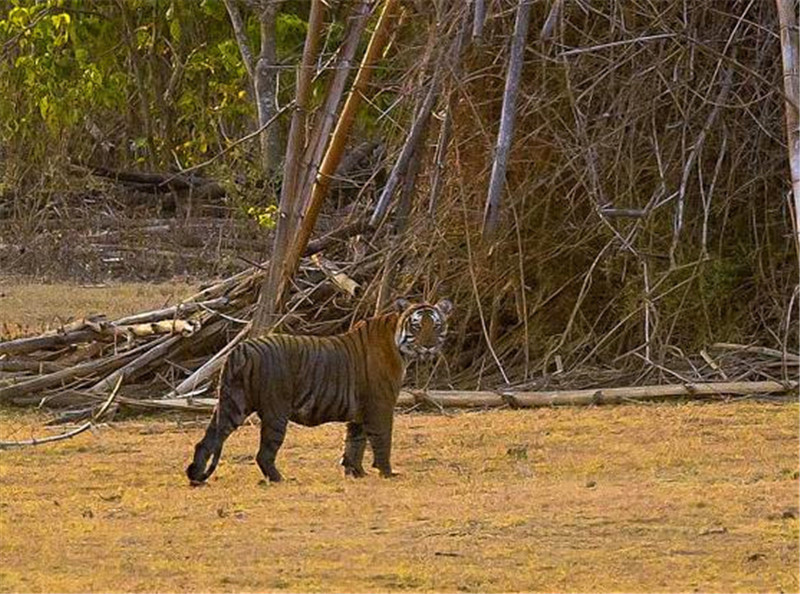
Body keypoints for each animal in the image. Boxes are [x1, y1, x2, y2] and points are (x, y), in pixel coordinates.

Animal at [184, 298, 454, 484]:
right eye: (417, 326)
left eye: (436, 325)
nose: (429, 346)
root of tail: (242, 348)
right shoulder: (380, 404)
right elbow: (381, 439)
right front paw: (387, 472)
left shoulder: (359, 412)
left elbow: (355, 443)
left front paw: (355, 472)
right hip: (275, 410)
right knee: (264, 452)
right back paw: (279, 478)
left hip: (233, 403)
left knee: (207, 440)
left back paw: (195, 474)